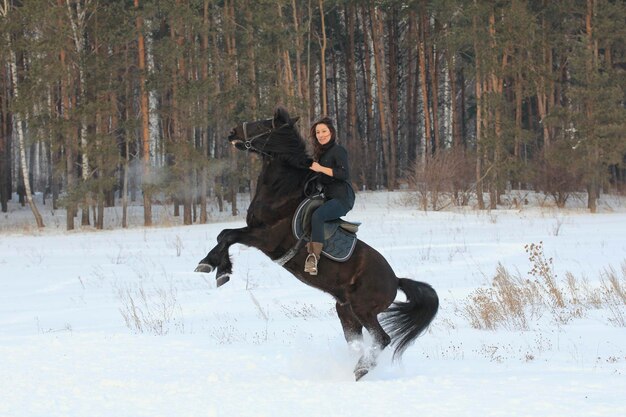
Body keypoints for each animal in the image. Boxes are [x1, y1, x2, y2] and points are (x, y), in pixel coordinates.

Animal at [193, 107, 436, 380]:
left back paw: (361, 369)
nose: (232, 132)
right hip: (346, 311)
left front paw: (214, 269)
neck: (282, 193)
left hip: (363, 309)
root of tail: (396, 280)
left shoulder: (265, 237)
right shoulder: (255, 232)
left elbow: (227, 235)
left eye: (265, 124)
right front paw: (216, 267)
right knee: (357, 341)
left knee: (382, 339)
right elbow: (223, 235)